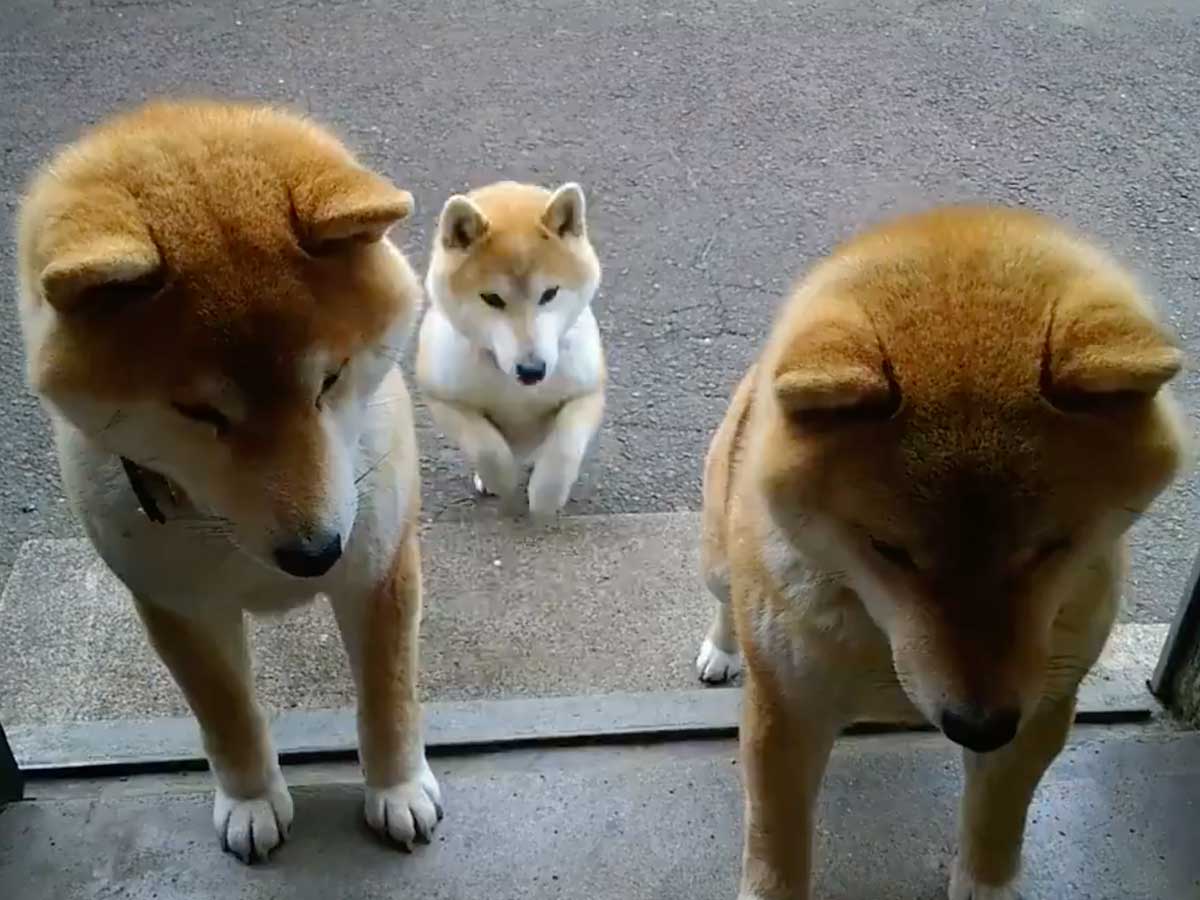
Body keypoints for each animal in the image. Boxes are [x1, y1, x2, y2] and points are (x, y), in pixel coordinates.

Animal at [16, 103, 441, 868]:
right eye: (200, 413)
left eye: (330, 379)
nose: (314, 554)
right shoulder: (173, 601)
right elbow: (226, 710)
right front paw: (251, 801)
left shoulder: (378, 561)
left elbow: (389, 696)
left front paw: (397, 789)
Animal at [417, 180, 604, 518]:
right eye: (491, 298)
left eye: (550, 293)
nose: (532, 370)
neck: (517, 391)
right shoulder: (442, 396)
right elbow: (486, 448)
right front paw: (502, 481)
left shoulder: (588, 390)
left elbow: (566, 445)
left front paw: (546, 497)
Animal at [700, 207, 1185, 897]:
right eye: (888, 549)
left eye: (1052, 546)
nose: (979, 727)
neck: (881, 642)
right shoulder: (785, 712)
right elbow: (776, 847)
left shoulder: (1042, 708)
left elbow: (995, 826)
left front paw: (985, 883)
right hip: (718, 557)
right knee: (722, 599)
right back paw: (722, 648)